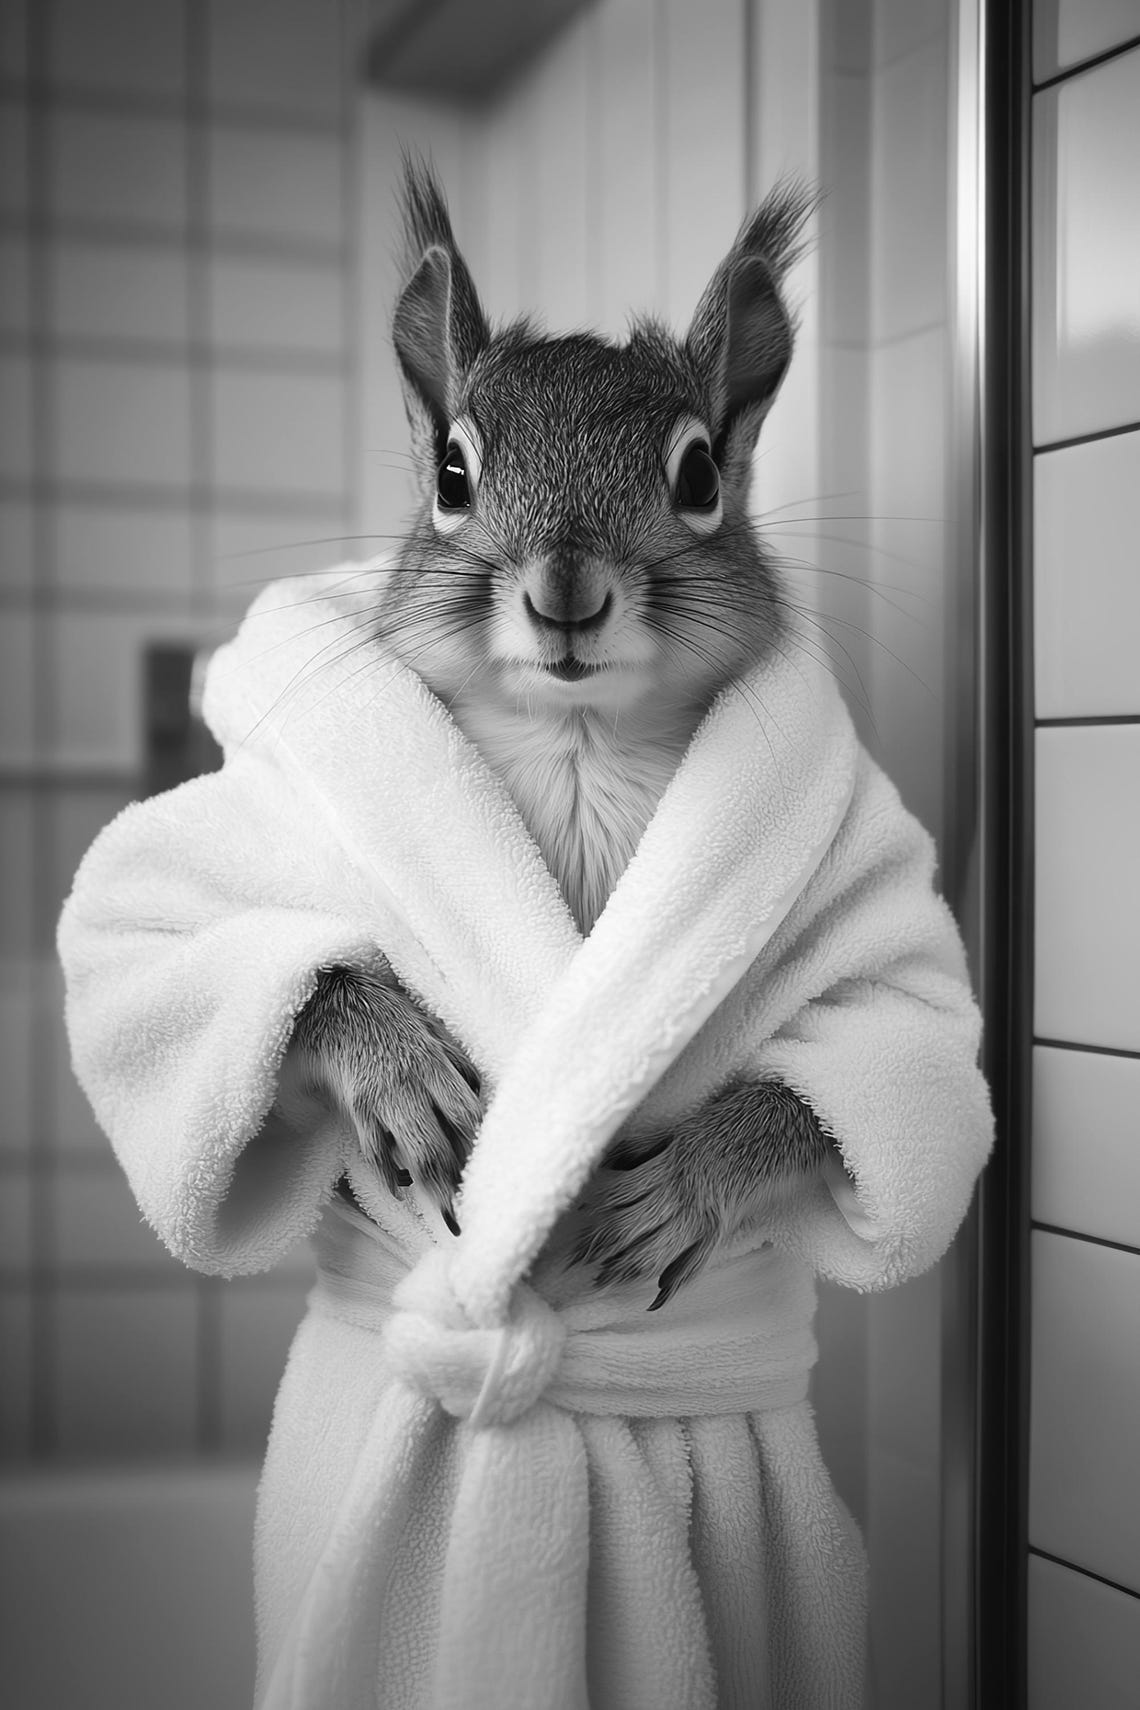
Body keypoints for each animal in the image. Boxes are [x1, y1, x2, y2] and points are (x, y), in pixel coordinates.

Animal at [281, 161, 835, 1309]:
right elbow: (292, 972)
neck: (578, 741)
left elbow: (827, 1088)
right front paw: (400, 1074)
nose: (566, 594)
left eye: (701, 476)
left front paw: (689, 1183)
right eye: (452, 476)